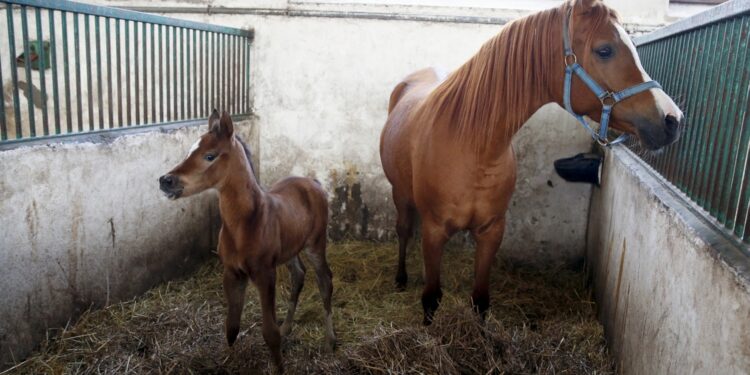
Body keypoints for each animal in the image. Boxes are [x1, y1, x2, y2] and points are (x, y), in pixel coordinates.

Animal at [160, 111, 336, 374]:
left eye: (209, 156)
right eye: (190, 150)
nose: (165, 181)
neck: (245, 224)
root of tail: (313, 182)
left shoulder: (265, 274)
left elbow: (269, 332)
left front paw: (279, 367)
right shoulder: (232, 272)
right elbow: (231, 326)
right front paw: (228, 359)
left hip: (315, 244)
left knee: (325, 280)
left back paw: (330, 340)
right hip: (289, 249)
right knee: (298, 275)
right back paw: (287, 327)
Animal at [384, 0, 684, 324]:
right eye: (605, 50)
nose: (673, 119)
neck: (473, 148)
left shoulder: (492, 231)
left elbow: (480, 300)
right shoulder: (434, 230)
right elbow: (430, 299)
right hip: (400, 195)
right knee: (403, 230)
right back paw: (400, 279)